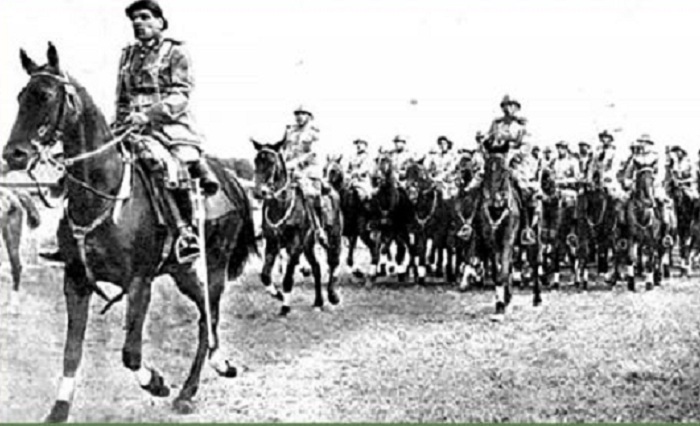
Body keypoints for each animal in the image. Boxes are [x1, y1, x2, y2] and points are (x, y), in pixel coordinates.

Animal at [2, 43, 258, 422]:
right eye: (21, 96)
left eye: (45, 95)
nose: (14, 155)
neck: (102, 192)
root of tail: (231, 180)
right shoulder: (76, 281)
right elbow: (72, 351)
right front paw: (59, 409)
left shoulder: (140, 284)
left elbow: (131, 352)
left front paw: (157, 383)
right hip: (182, 270)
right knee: (204, 313)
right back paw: (216, 364)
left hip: (214, 266)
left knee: (207, 318)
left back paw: (188, 391)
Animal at [252, 138, 342, 314]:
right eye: (256, 160)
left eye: (272, 161)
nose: (260, 192)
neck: (282, 206)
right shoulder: (272, 243)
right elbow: (265, 275)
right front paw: (278, 295)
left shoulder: (295, 245)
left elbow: (287, 277)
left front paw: (285, 306)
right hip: (308, 245)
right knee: (316, 267)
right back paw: (318, 302)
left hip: (333, 237)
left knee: (333, 263)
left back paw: (332, 296)